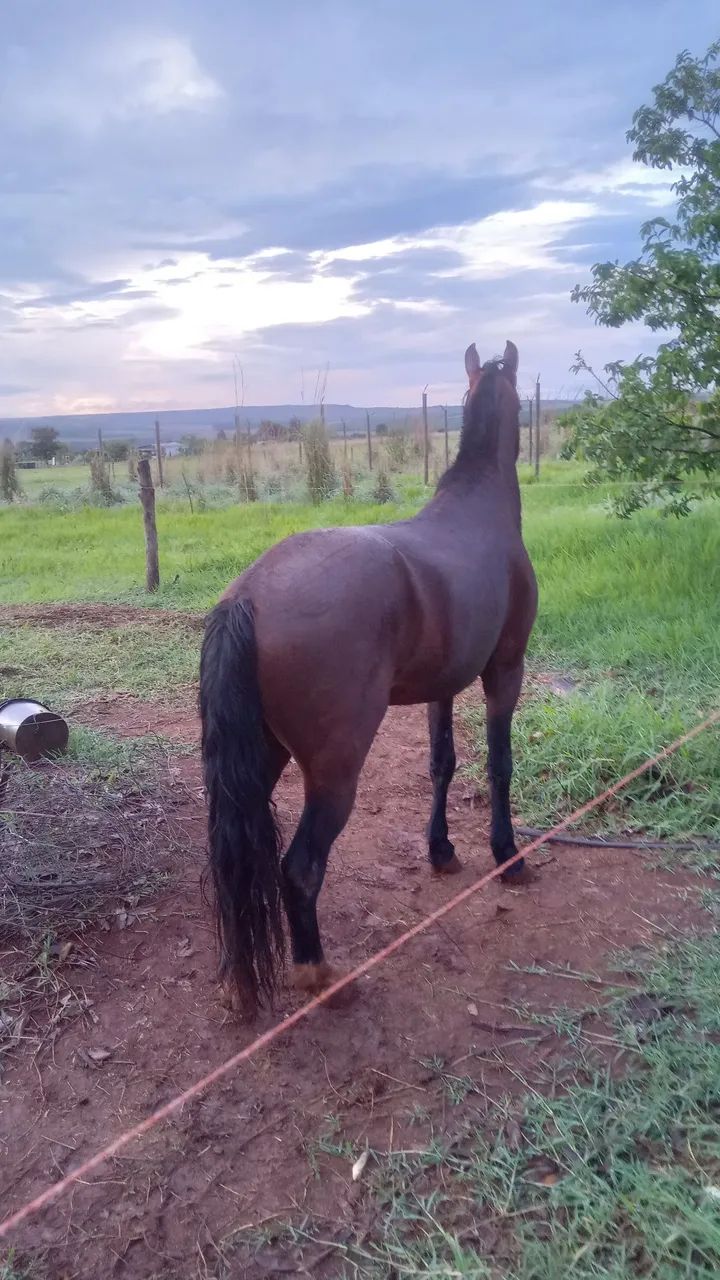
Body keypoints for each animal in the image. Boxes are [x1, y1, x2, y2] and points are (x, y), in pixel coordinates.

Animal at [200, 339, 538, 1015]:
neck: (480, 510)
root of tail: (248, 596)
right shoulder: (503, 672)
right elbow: (499, 764)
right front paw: (506, 855)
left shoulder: (443, 687)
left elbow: (441, 764)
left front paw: (441, 852)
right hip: (334, 772)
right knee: (300, 869)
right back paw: (321, 977)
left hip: (258, 760)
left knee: (234, 859)